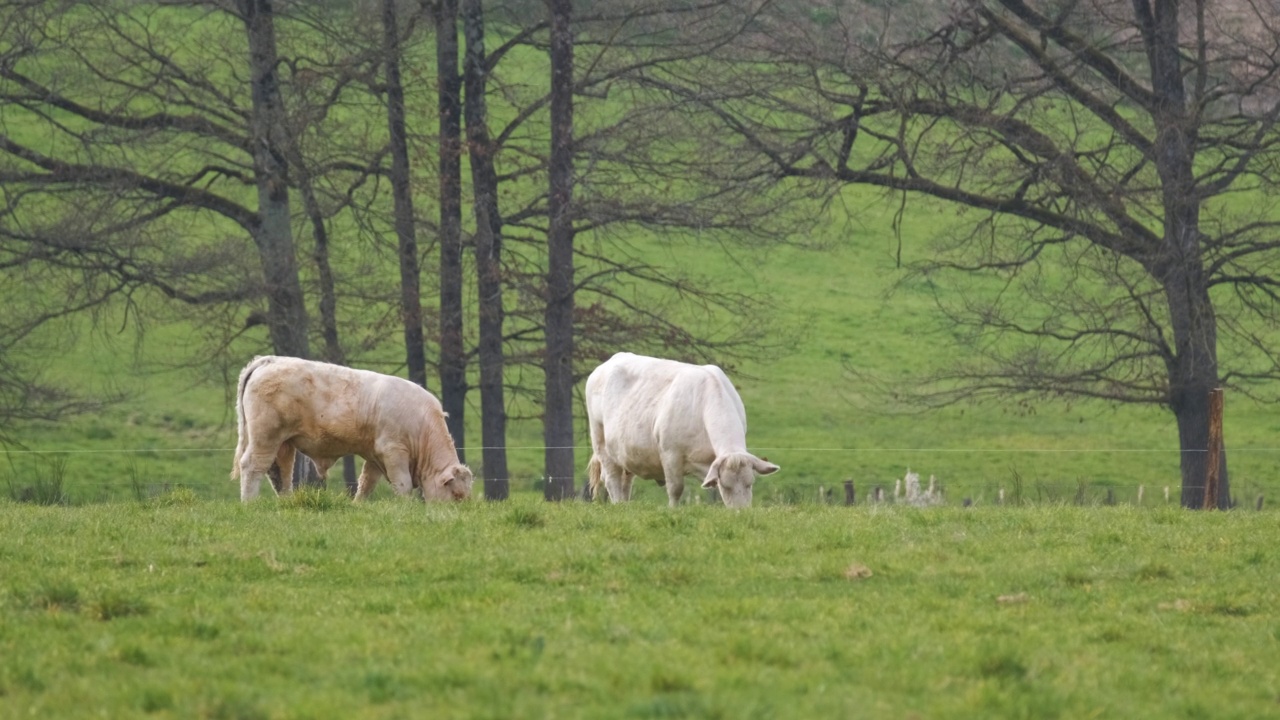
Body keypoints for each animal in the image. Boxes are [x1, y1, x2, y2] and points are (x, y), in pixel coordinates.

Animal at [227, 356, 473, 502]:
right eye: (457, 494)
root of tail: (269, 361)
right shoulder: (393, 452)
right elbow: (402, 484)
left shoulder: (374, 456)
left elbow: (366, 483)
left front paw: (358, 505)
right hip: (265, 436)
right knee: (253, 466)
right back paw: (249, 503)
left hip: (284, 443)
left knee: (280, 473)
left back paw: (286, 502)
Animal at [583, 348, 778, 504]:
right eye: (726, 486)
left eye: (750, 484)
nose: (740, 512)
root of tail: (612, 359)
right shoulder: (670, 454)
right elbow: (675, 489)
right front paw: (673, 510)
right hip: (600, 441)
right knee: (611, 478)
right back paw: (618, 504)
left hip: (625, 452)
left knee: (625, 480)